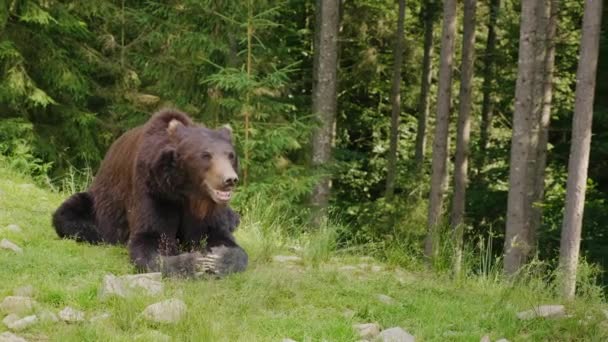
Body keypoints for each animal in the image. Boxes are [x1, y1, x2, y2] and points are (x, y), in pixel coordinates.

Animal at [51, 109, 247, 278]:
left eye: (230, 155)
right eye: (205, 155)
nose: (230, 179)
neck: (186, 192)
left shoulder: (208, 208)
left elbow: (220, 236)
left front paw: (217, 258)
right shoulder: (153, 191)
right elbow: (150, 238)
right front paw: (193, 262)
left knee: (235, 218)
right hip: (95, 203)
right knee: (70, 213)